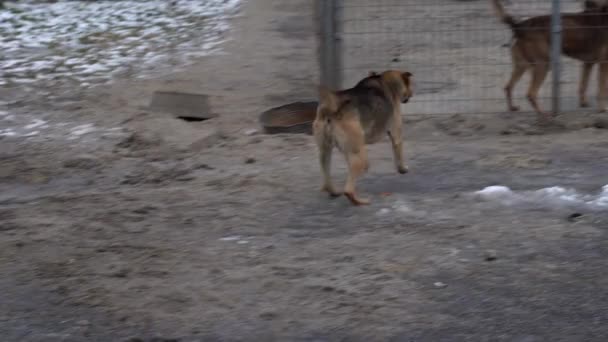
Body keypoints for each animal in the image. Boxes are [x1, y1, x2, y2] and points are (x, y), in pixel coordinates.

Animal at [314, 68, 414, 204]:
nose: (412, 94)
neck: (384, 80)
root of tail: (332, 108)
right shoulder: (396, 135)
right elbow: (399, 156)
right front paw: (403, 169)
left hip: (325, 152)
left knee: (327, 179)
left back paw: (334, 192)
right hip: (361, 158)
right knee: (349, 190)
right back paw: (361, 201)